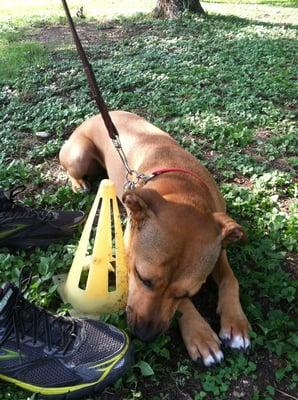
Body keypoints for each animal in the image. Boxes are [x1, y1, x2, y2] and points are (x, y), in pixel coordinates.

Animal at [59, 111, 250, 368]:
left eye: (187, 292)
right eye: (143, 278)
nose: (144, 335)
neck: (183, 191)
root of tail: (97, 116)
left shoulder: (219, 250)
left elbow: (231, 279)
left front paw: (236, 324)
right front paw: (200, 335)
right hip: (78, 156)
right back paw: (78, 183)